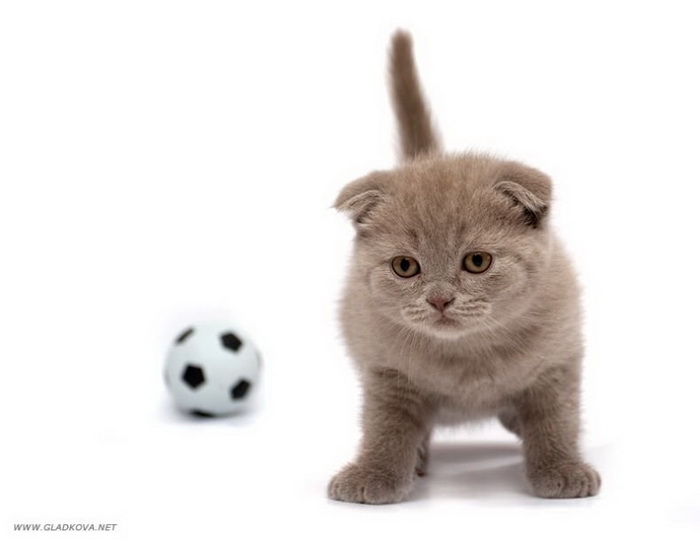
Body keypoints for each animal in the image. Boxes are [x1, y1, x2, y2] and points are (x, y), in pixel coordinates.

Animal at [327, 30, 600, 503]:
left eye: (477, 261)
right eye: (405, 266)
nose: (439, 299)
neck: (467, 356)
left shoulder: (558, 359)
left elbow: (555, 418)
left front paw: (561, 469)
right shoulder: (385, 370)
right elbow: (385, 426)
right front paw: (373, 474)